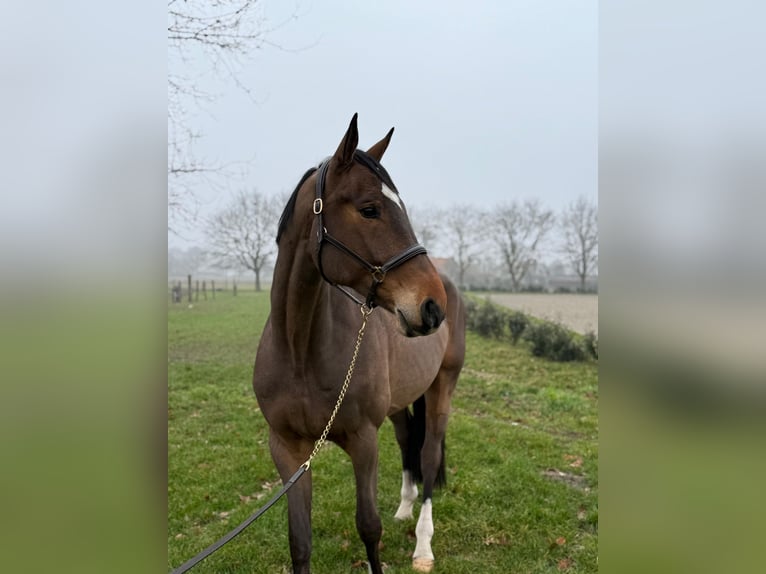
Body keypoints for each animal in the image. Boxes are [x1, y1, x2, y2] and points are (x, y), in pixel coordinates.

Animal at [253, 114, 466, 574]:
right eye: (370, 209)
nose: (432, 306)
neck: (300, 353)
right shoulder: (288, 451)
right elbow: (300, 542)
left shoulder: (363, 442)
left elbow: (369, 528)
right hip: (401, 401)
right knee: (407, 441)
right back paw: (404, 508)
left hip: (442, 387)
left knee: (429, 454)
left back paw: (423, 544)